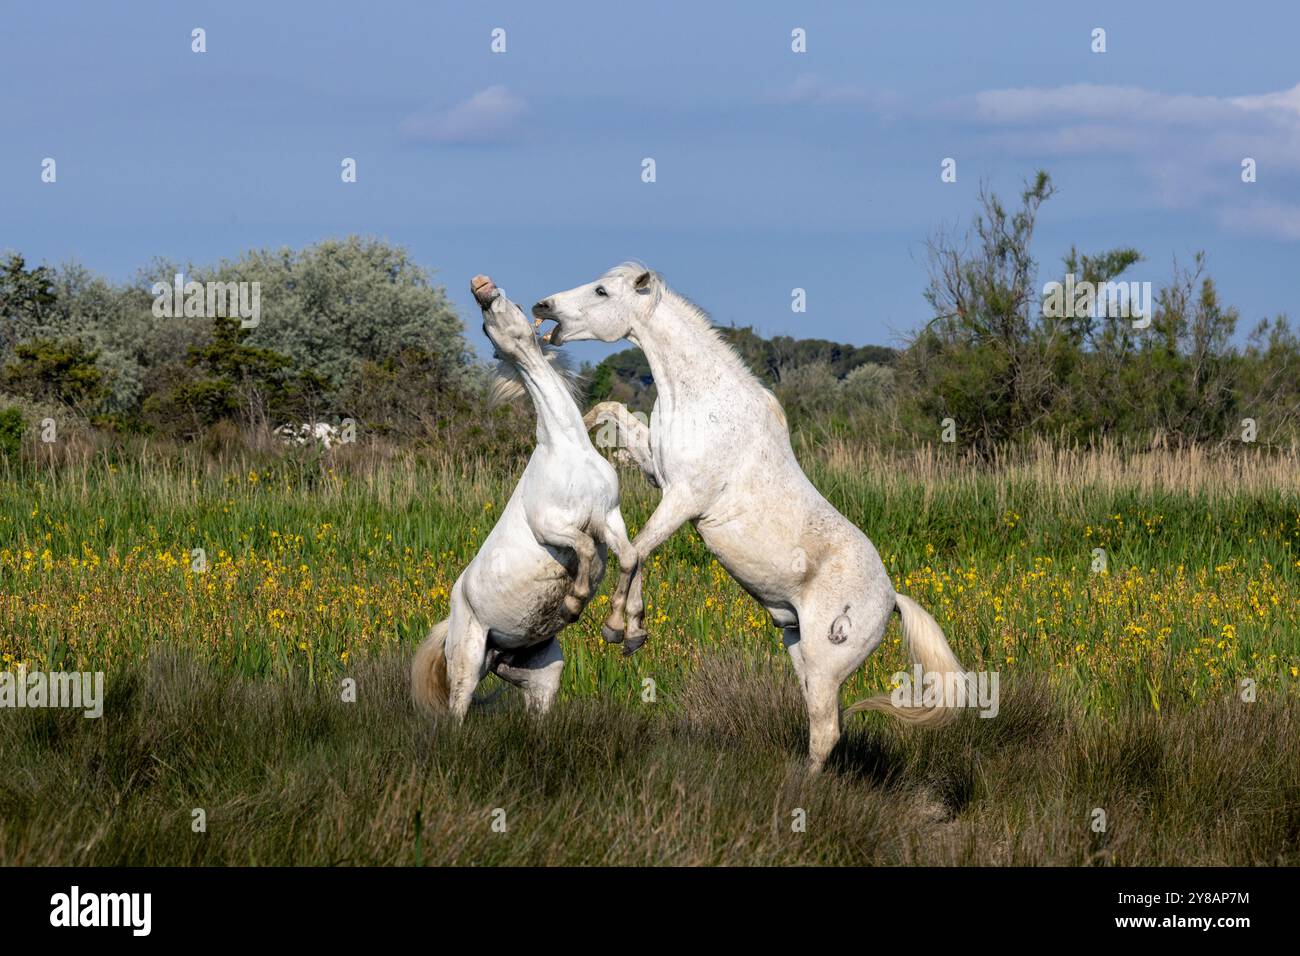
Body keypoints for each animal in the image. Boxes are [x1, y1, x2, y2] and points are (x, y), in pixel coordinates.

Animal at [411, 275, 639, 720]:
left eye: (508, 304)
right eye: (485, 326)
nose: (480, 286)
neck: (567, 449)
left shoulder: (608, 517)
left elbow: (630, 557)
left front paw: (621, 631)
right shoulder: (551, 527)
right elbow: (586, 550)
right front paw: (574, 604)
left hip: (541, 673)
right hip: (467, 662)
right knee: (457, 712)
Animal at [532, 263, 965, 771]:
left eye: (601, 291)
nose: (543, 307)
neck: (705, 398)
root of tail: (892, 599)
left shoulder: (684, 498)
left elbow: (634, 552)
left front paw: (619, 627)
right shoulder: (660, 475)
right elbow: (613, 414)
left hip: (824, 666)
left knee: (826, 732)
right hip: (800, 653)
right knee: (823, 727)